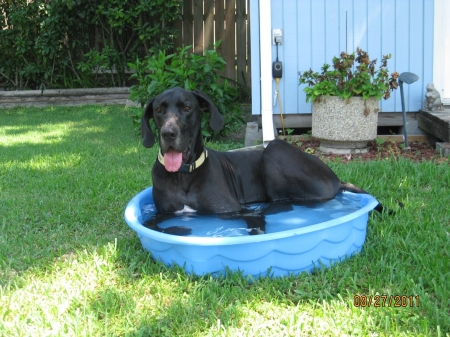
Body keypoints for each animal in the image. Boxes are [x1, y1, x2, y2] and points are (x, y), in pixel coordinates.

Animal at [142, 86, 380, 234]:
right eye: (159, 110)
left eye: (187, 108)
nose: (168, 133)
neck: (183, 176)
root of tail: (336, 178)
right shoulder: (162, 212)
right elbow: (148, 223)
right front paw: (178, 229)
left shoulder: (233, 209)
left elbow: (255, 221)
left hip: (274, 150)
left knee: (280, 204)